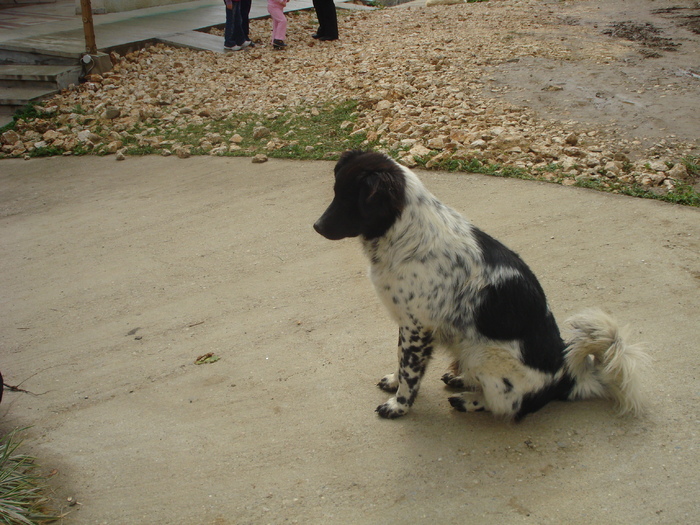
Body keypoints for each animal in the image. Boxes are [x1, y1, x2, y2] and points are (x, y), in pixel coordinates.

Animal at [314, 149, 648, 420]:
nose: (316, 226)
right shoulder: (408, 325)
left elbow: (410, 370)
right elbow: (401, 361)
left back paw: (468, 400)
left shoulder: (417, 326)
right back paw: (462, 380)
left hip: (482, 352)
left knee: (511, 405)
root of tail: (566, 380)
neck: (407, 235)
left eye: (349, 199)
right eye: (335, 192)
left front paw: (400, 405)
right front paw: (394, 384)